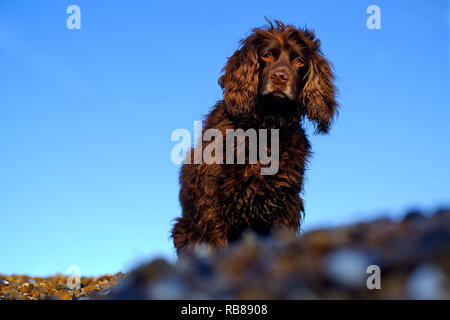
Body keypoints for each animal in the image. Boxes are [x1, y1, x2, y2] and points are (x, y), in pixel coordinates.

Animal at [172, 20, 338, 255]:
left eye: (299, 61)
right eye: (266, 55)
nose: (280, 77)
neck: (265, 128)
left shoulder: (286, 202)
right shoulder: (213, 199)